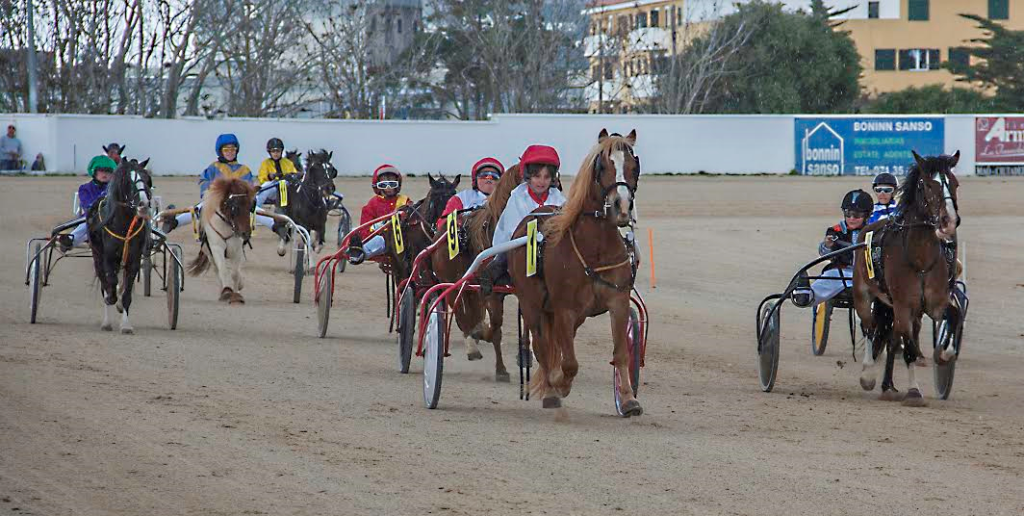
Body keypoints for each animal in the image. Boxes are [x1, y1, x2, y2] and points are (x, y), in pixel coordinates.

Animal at [88, 159, 152, 331]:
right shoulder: (109, 258)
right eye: (128, 181)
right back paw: (106, 321)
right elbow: (110, 285)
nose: (144, 205)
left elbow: (127, 293)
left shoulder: (133, 260)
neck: (124, 226)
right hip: (97, 255)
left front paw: (126, 325)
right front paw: (112, 299)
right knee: (105, 282)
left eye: (147, 179)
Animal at [432, 162, 524, 380]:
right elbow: (495, 327)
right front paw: (500, 368)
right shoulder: (490, 290)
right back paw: (472, 345)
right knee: (461, 315)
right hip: (454, 284)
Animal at [856, 150, 958, 407]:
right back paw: (868, 374)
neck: (919, 258)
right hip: (863, 294)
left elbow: (954, 316)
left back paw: (888, 386)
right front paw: (913, 392)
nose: (949, 220)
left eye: (954, 183)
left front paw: (944, 354)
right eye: (929, 185)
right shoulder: (904, 304)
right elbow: (909, 346)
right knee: (869, 327)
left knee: (891, 337)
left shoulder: (934, 302)